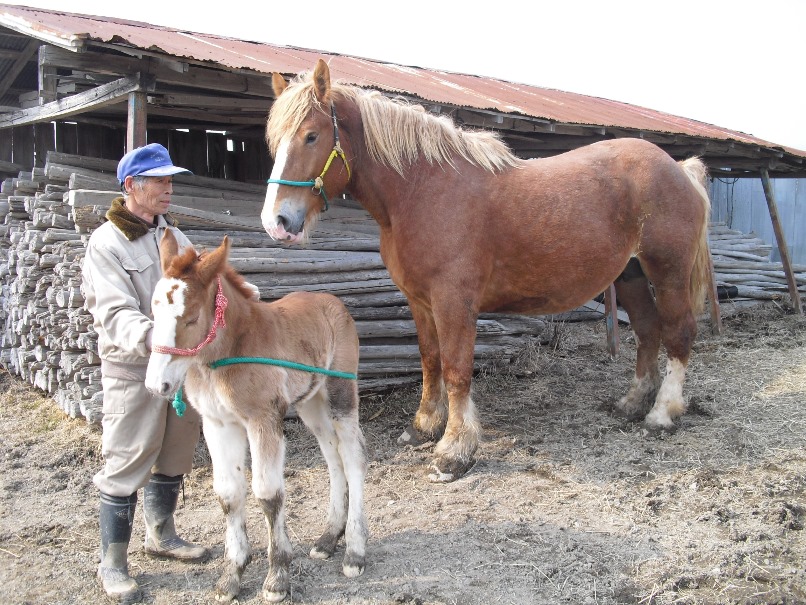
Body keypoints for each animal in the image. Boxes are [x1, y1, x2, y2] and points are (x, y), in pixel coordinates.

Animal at [146, 230, 370, 600]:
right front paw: (231, 576)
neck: (226, 354)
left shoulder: (262, 419)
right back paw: (327, 538)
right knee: (332, 455)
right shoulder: (218, 423)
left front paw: (277, 576)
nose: (156, 384)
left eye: (191, 318)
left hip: (340, 392)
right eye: (154, 312)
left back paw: (354, 551)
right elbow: (228, 494)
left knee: (353, 457)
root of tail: (333, 302)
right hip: (309, 403)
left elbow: (268, 493)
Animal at [266, 59, 712, 484]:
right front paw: (424, 426)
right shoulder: (419, 301)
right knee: (648, 330)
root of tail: (679, 168)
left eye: (311, 136)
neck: (421, 190)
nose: (277, 223)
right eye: (274, 140)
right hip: (631, 274)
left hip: (668, 273)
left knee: (678, 333)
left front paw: (454, 451)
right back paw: (633, 403)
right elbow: (431, 361)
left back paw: (662, 414)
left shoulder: (454, 301)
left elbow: (456, 369)